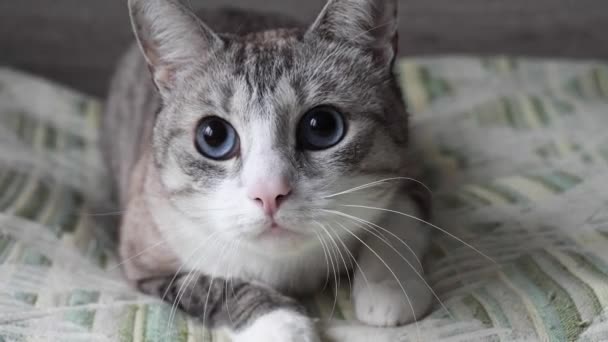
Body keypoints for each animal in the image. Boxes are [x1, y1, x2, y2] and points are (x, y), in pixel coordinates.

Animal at [103, 0, 432, 340]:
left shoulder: (410, 171)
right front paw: (284, 324)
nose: (270, 193)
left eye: (322, 126)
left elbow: (396, 225)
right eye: (213, 136)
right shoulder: (145, 261)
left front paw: (389, 287)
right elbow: (215, 286)